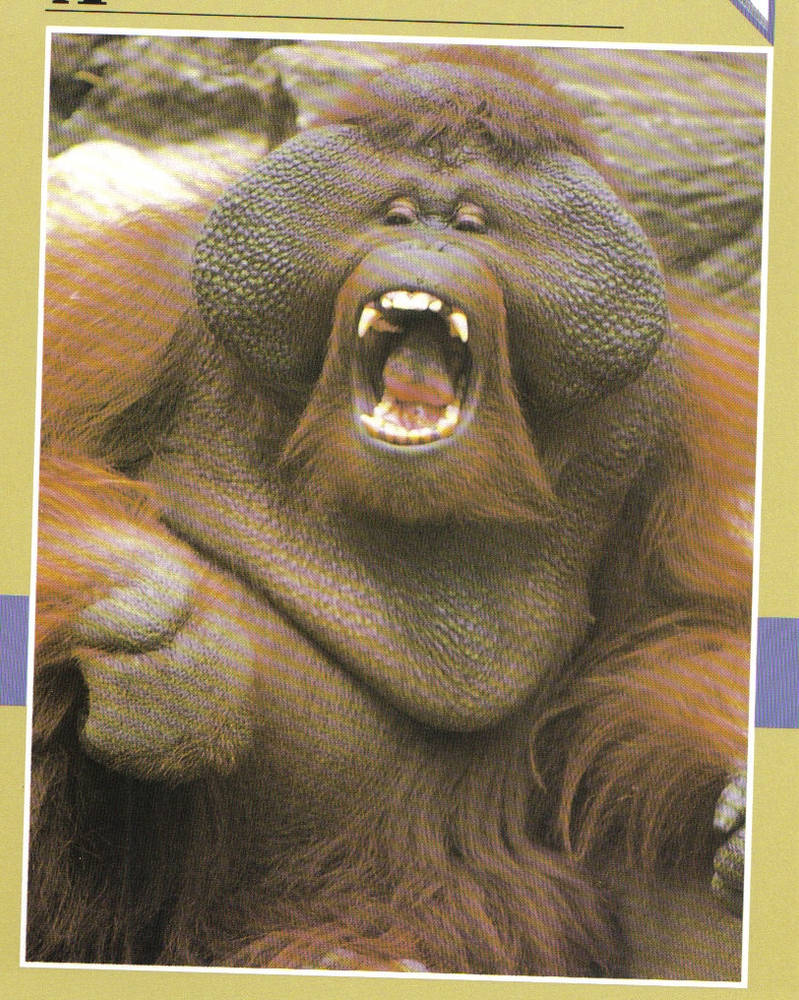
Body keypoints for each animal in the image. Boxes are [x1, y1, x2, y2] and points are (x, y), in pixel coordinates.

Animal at [28, 45, 755, 977]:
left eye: (474, 223)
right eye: (397, 212)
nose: (427, 240)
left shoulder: (685, 408)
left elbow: (673, 637)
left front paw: (743, 788)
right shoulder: (136, 304)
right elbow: (48, 466)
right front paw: (179, 655)